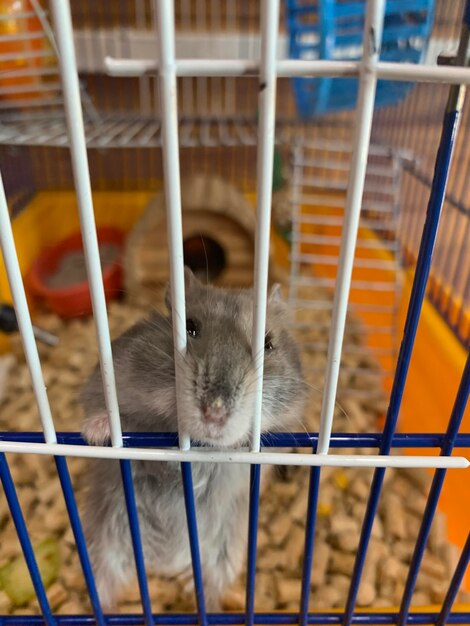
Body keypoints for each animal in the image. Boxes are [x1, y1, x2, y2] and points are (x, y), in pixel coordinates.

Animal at [81, 268, 308, 608]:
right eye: (190, 328)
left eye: (268, 344)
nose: (214, 414)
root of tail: (164, 562)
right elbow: (127, 420)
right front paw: (95, 431)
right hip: (106, 538)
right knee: (103, 588)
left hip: (227, 551)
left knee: (211, 586)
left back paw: (198, 594)